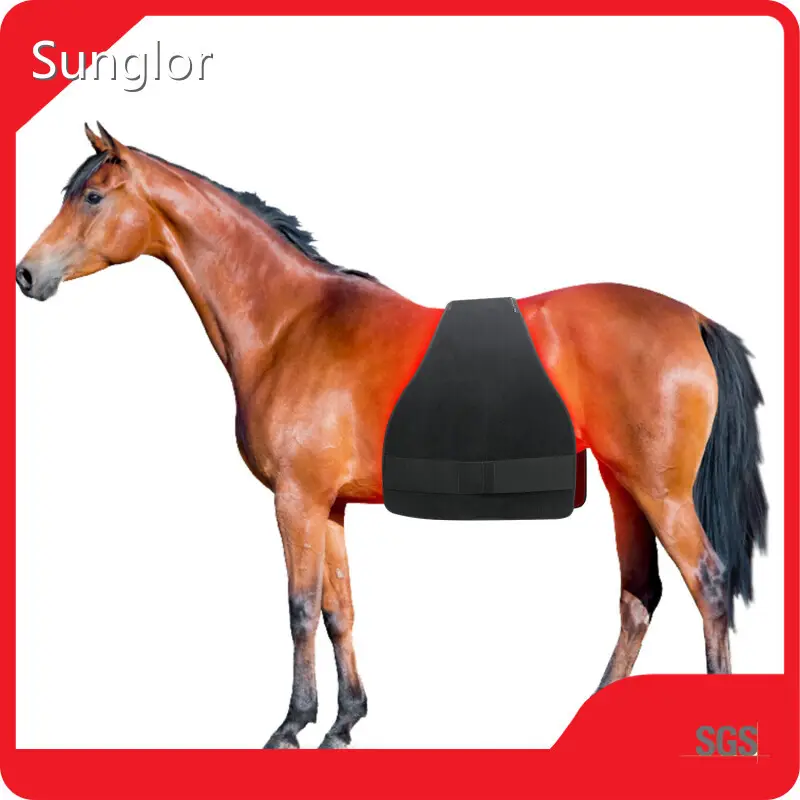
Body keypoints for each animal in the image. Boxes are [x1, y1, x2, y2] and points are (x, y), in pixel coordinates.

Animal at [16, 124, 767, 749]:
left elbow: (299, 608)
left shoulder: (295, 500)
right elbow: (338, 610)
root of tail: (692, 318)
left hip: (660, 493)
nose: (27, 274)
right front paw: (344, 722)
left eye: (92, 196)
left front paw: (292, 725)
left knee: (708, 585)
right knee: (640, 597)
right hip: (623, 488)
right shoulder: (329, 505)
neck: (291, 324)